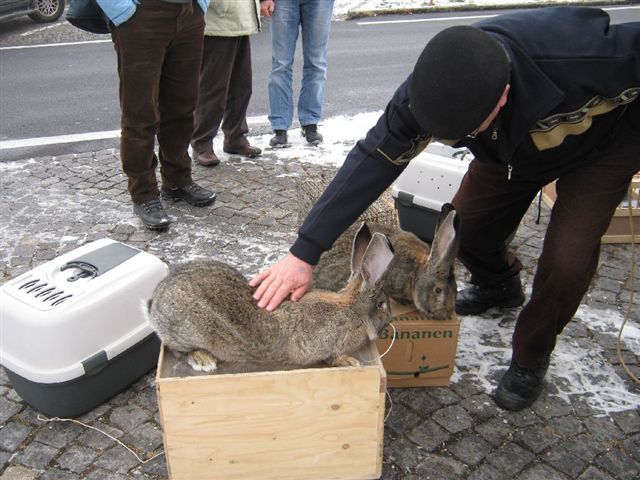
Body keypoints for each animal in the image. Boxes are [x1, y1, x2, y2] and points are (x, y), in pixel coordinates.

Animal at [146, 228, 396, 372]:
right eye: (382, 304)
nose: (391, 318)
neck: (351, 308)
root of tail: (153, 306)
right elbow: (329, 358)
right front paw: (349, 362)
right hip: (188, 331)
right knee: (176, 348)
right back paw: (203, 360)